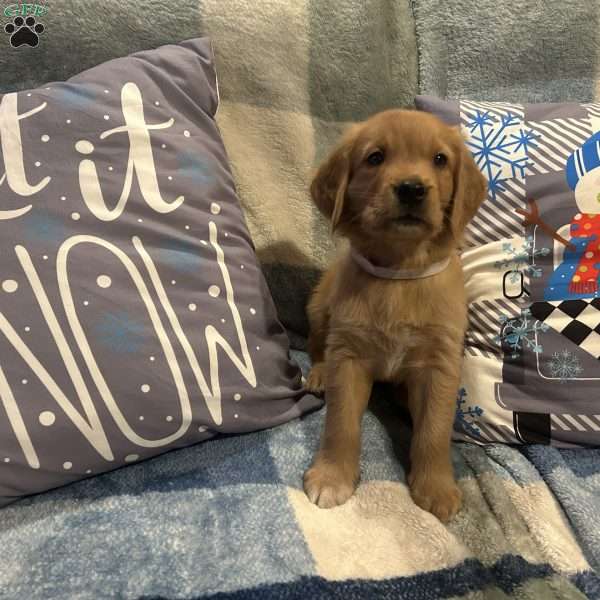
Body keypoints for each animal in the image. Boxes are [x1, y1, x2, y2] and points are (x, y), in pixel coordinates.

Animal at [304, 110, 488, 524]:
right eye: (375, 157)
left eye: (440, 159)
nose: (411, 188)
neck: (399, 273)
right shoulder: (348, 355)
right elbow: (340, 423)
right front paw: (332, 478)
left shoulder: (440, 363)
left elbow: (434, 431)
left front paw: (436, 487)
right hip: (321, 304)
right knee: (316, 344)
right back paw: (318, 373)